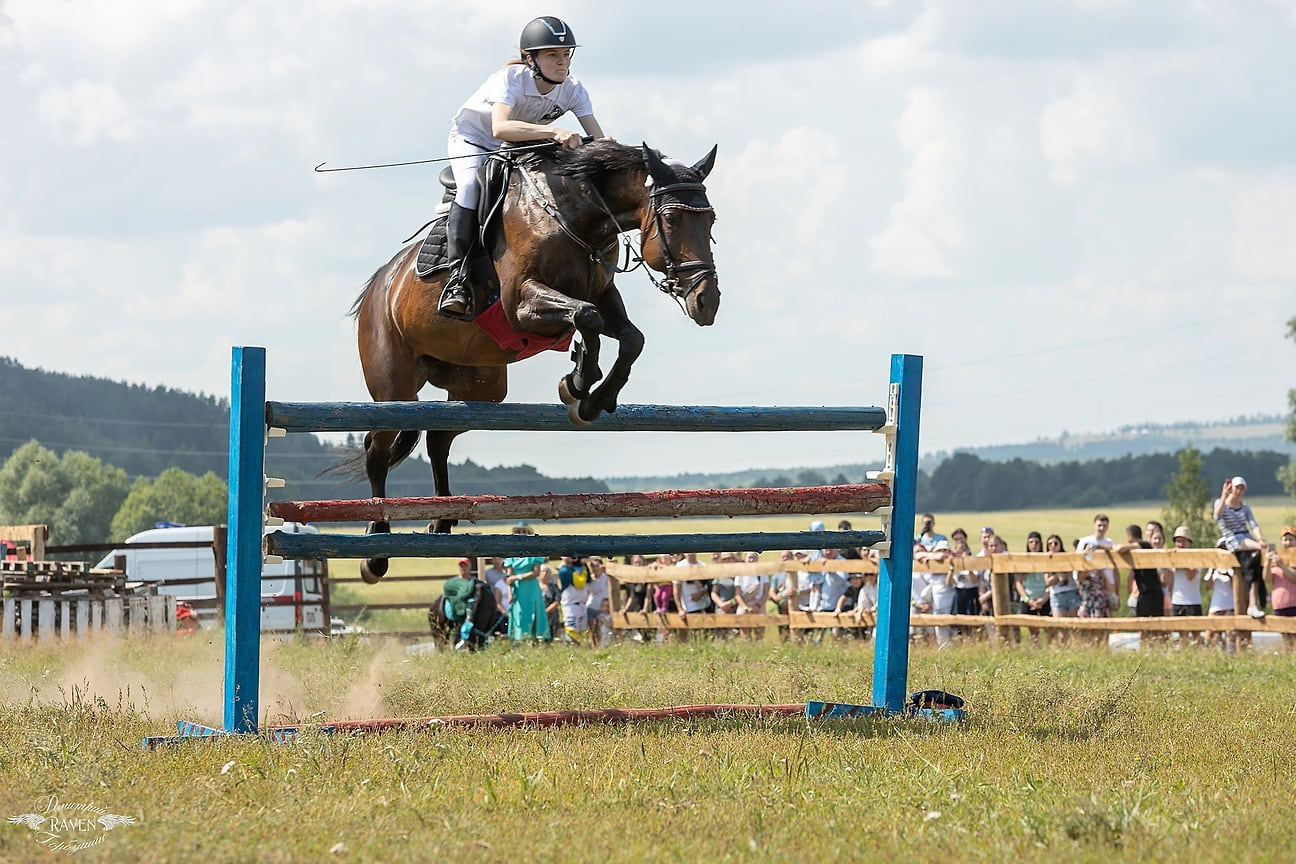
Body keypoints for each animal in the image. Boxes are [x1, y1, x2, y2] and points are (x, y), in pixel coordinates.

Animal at [349, 141, 725, 585]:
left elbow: (630, 338)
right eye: (670, 218)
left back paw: (442, 519)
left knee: (438, 439)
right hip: (394, 385)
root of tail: (378, 286)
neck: (580, 216)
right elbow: (586, 318)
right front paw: (579, 382)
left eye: (711, 219)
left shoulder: (602, 293)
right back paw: (376, 544)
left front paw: (593, 398)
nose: (706, 301)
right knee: (377, 448)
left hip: (480, 387)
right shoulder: (523, 303)